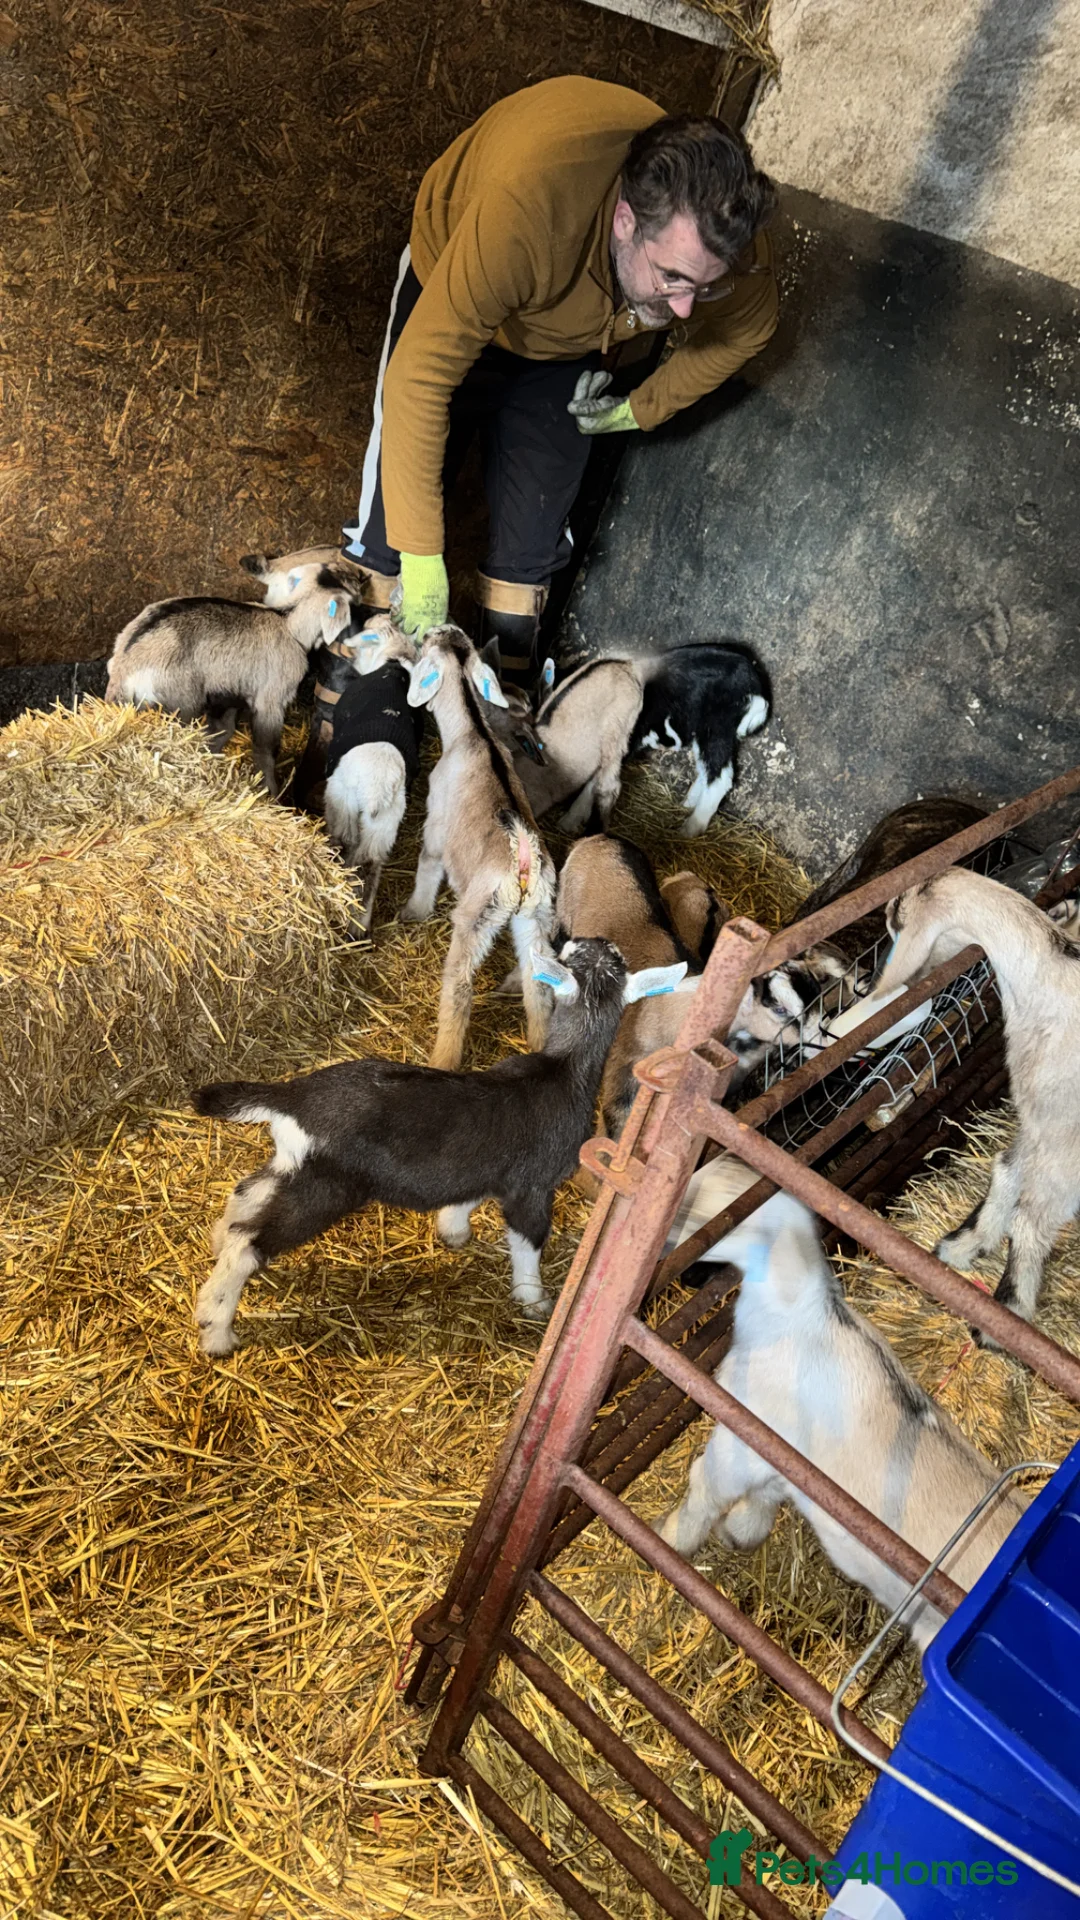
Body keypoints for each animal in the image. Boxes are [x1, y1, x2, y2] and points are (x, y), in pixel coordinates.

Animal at [105, 572, 352, 797]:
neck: (290, 625)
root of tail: (125, 664)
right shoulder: (271, 700)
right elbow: (265, 749)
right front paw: (270, 792)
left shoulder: (228, 694)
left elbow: (222, 731)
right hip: (181, 700)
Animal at [191, 938, 688, 1354]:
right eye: (577, 951)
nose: (586, 939)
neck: (563, 1069)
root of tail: (293, 1097)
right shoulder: (531, 1185)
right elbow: (529, 1240)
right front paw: (534, 1301)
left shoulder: (487, 1171)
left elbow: (465, 1196)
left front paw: (453, 1232)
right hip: (329, 1185)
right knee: (250, 1241)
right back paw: (216, 1330)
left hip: (295, 1163)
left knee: (246, 1193)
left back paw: (216, 1242)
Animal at [401, 625, 557, 1070]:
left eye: (427, 644)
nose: (426, 631)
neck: (473, 731)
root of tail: (524, 859)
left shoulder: (436, 820)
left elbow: (428, 862)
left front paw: (413, 912)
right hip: (536, 917)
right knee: (538, 985)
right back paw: (539, 1046)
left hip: (477, 916)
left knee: (460, 984)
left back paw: (442, 1061)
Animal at [490, 642, 769, 837]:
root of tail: (756, 685)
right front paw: (571, 821)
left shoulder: (618, 740)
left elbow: (598, 781)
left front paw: (571, 821)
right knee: (708, 770)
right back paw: (688, 803)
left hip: (718, 730)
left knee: (721, 777)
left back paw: (691, 827)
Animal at [875, 867, 1080, 1331]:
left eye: (897, 923)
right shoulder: (1038, 1119)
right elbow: (1005, 1169)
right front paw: (964, 1247)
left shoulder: (1063, 1140)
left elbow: (1031, 1217)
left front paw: (1009, 1312)